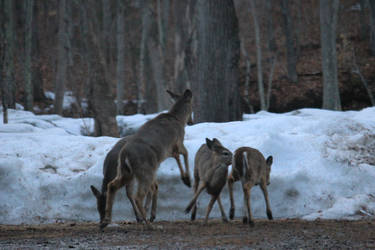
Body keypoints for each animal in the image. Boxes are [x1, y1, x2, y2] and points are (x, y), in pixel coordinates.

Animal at [100, 89, 194, 229]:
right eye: (192, 106)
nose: (192, 121)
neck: (178, 119)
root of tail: (124, 155)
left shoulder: (170, 151)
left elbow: (179, 158)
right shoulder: (177, 143)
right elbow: (186, 154)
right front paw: (186, 179)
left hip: (126, 172)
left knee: (112, 185)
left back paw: (106, 221)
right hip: (145, 171)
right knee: (138, 195)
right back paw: (149, 225)